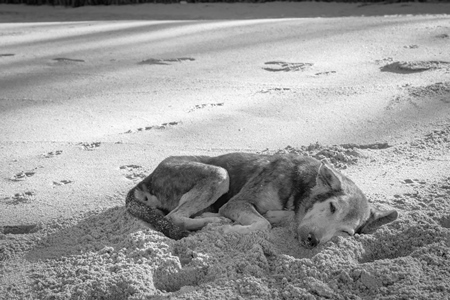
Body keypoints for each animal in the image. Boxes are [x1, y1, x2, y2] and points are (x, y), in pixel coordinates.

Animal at [125, 152, 396, 248]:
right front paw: (231, 230)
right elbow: (263, 224)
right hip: (219, 174)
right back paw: (213, 223)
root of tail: (145, 180)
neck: (300, 185)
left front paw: (279, 216)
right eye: (331, 207)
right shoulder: (236, 202)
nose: (312, 241)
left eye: (345, 233)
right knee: (175, 217)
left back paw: (210, 217)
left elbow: (277, 218)